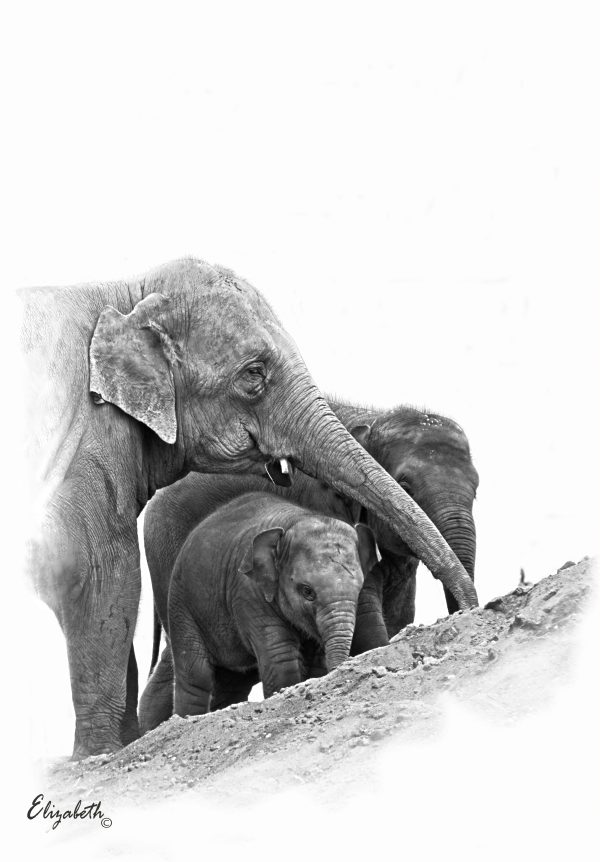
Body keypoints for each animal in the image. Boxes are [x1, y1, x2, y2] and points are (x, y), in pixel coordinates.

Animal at [166, 492, 376, 721]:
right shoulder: (248, 592)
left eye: (359, 589)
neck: (294, 520)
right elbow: (279, 655)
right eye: (307, 591)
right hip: (181, 605)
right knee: (196, 675)